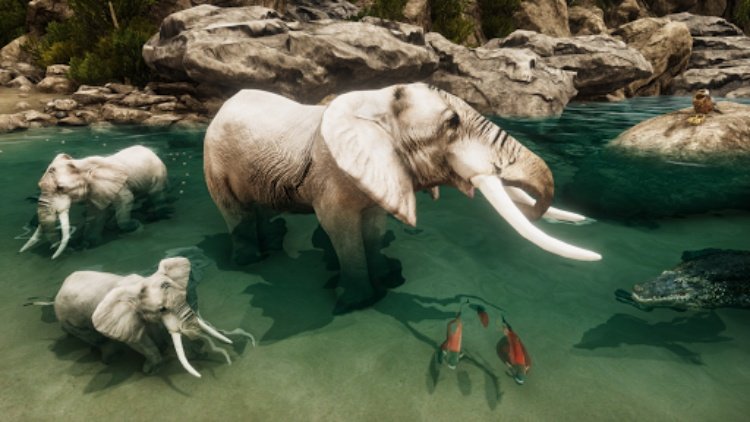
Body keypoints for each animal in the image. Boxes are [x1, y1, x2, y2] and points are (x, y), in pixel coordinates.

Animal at [19, 145, 168, 259]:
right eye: (39, 186)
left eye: (61, 188)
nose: (70, 251)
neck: (81, 166)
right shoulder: (94, 190)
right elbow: (96, 213)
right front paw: (89, 244)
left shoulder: (118, 186)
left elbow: (126, 200)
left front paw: (135, 226)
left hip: (159, 174)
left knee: (156, 195)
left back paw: (155, 216)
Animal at [49, 257, 248, 377]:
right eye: (162, 309)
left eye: (184, 297)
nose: (232, 357)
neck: (140, 282)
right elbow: (139, 340)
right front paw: (149, 370)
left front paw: (170, 350)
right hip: (68, 318)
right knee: (92, 336)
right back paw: (110, 357)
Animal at [203, 83, 601, 313]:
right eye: (452, 123)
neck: (375, 101)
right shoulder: (333, 174)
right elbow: (339, 227)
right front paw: (355, 302)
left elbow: (374, 225)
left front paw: (390, 280)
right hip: (214, 161)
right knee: (236, 212)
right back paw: (250, 261)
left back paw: (273, 241)